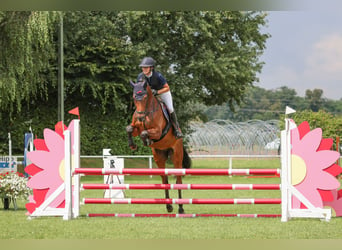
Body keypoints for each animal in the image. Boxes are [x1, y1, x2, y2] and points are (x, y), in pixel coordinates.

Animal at [126, 80, 191, 213]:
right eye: (134, 97)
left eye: (145, 97)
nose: (140, 117)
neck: (146, 111)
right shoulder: (135, 128)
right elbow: (130, 129)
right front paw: (133, 145)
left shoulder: (158, 132)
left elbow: (144, 132)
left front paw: (146, 140)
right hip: (159, 157)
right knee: (164, 179)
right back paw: (169, 206)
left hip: (176, 155)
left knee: (178, 179)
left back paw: (181, 208)